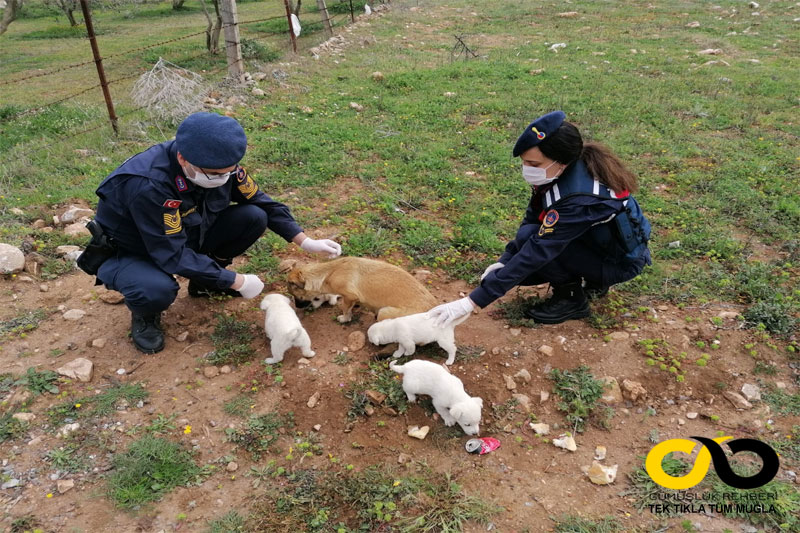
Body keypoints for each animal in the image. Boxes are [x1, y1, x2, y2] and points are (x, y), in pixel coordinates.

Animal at [288, 256, 438, 322]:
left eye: (295, 296)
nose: (297, 308)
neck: (329, 272)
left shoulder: (349, 296)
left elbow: (345, 308)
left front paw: (345, 318)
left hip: (384, 312)